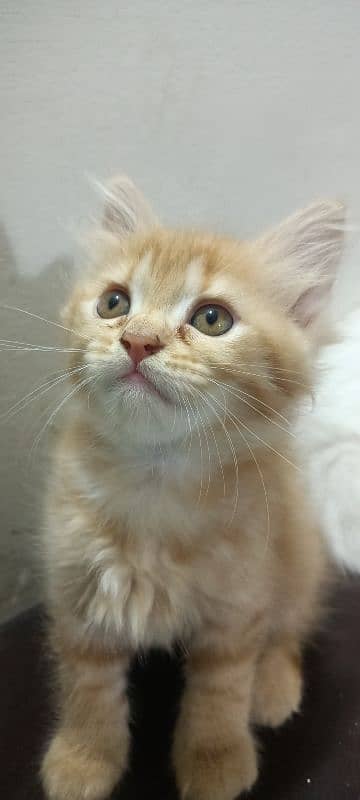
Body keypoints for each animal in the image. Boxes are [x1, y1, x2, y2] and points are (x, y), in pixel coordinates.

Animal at [40, 177, 344, 800]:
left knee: (291, 626)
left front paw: (215, 761)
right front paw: (83, 759)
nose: (138, 341)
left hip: (297, 556)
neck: (156, 484)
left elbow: (220, 690)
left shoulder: (239, 606)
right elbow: (87, 687)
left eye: (211, 319)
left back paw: (273, 689)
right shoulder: (74, 590)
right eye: (114, 304)